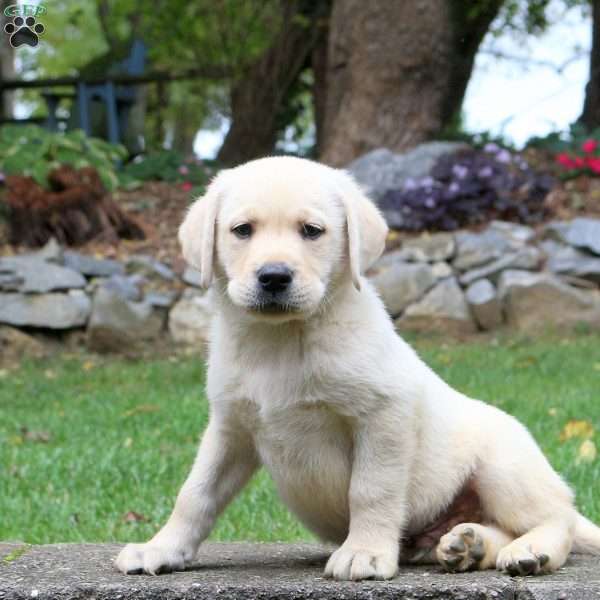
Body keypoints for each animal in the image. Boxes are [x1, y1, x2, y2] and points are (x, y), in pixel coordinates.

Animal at [115, 156, 596, 580]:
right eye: (242, 230)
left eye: (311, 231)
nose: (274, 276)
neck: (282, 342)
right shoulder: (230, 429)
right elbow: (195, 493)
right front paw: (161, 547)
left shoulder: (382, 417)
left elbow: (371, 491)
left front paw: (364, 553)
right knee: (502, 528)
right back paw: (468, 545)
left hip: (505, 468)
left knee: (559, 518)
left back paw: (530, 551)